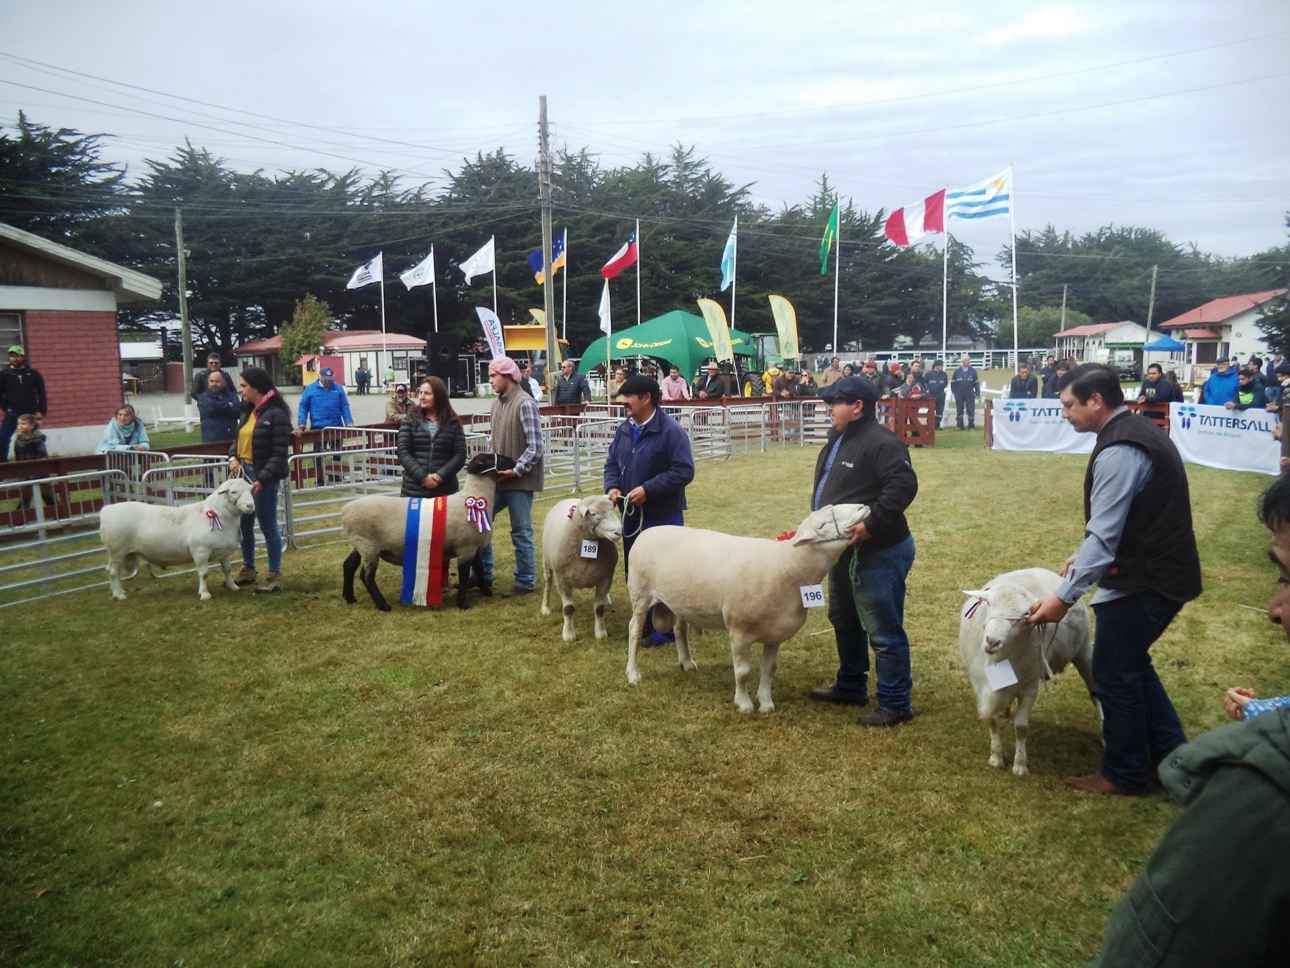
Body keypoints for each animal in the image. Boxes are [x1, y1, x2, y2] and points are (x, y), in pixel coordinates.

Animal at [99, 474, 255, 598]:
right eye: (234, 492)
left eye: (250, 490)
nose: (250, 506)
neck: (219, 514)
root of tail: (106, 510)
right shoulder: (200, 551)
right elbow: (204, 573)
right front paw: (204, 594)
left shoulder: (224, 552)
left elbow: (227, 570)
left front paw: (233, 587)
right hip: (117, 550)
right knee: (112, 572)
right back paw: (119, 594)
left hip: (123, 552)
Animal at [343, 451, 513, 609]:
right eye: (491, 458)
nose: (513, 460)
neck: (474, 497)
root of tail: (346, 509)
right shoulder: (465, 547)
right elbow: (464, 575)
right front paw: (463, 603)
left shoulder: (475, 547)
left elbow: (479, 569)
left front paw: (486, 591)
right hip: (368, 545)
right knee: (366, 577)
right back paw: (382, 605)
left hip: (360, 543)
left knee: (349, 565)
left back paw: (349, 597)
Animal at [539, 500, 624, 645]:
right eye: (593, 513)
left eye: (613, 509)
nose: (618, 532)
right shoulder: (562, 579)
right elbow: (568, 609)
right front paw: (568, 634)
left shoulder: (606, 577)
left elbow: (599, 608)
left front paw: (601, 633)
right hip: (547, 562)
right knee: (548, 583)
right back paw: (545, 607)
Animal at [621, 503, 866, 717]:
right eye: (823, 525)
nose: (863, 507)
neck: (787, 567)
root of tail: (647, 531)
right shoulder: (739, 631)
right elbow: (743, 672)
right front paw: (744, 704)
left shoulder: (774, 634)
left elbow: (769, 670)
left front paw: (766, 703)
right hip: (640, 594)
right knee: (634, 630)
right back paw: (633, 673)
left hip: (680, 601)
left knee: (679, 629)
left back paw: (687, 663)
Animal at [959, 567, 1099, 779]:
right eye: (989, 603)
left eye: (1026, 615)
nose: (992, 641)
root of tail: (1041, 569)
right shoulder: (979, 684)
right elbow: (992, 719)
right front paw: (996, 757)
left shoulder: (1030, 685)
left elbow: (1021, 727)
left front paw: (1020, 765)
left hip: (1082, 651)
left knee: (1095, 693)